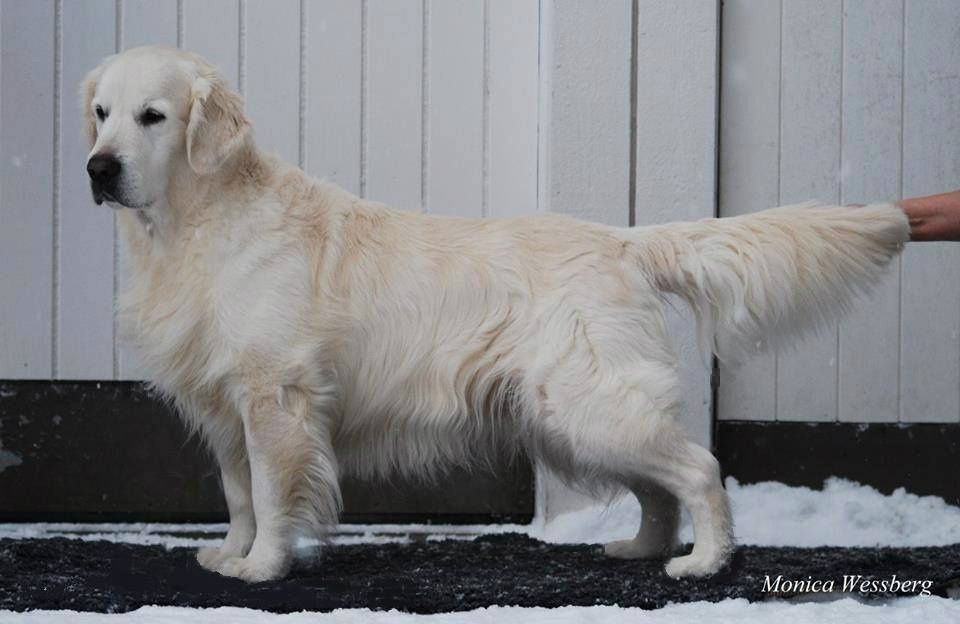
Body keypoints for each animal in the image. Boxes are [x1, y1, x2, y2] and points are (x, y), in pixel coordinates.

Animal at [81, 46, 910, 582]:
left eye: (154, 116)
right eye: (100, 112)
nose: (98, 168)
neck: (194, 224)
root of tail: (623, 240)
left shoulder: (274, 396)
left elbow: (273, 491)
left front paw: (262, 569)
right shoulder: (225, 404)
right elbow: (238, 493)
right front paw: (232, 553)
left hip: (589, 406)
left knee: (698, 469)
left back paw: (704, 563)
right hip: (574, 416)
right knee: (657, 488)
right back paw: (641, 550)